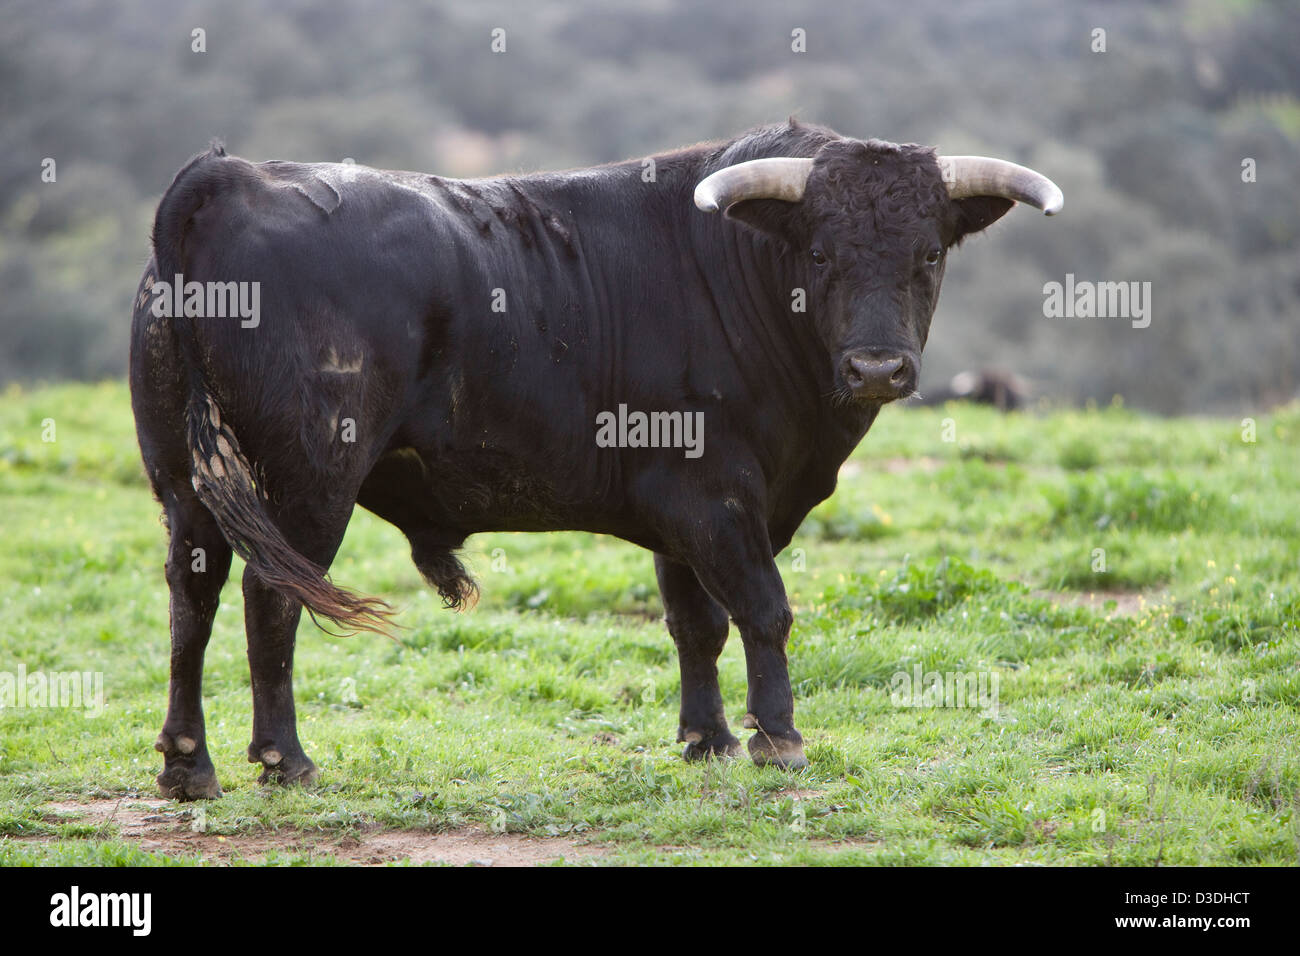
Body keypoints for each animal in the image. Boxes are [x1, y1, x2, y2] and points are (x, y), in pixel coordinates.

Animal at [131, 119, 1060, 796]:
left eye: (929, 253)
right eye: (821, 252)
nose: (877, 368)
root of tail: (230, 178)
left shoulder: (682, 514)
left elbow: (695, 623)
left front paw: (708, 739)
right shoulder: (719, 498)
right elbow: (764, 609)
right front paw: (779, 738)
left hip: (186, 488)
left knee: (192, 598)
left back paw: (188, 764)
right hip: (309, 481)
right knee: (271, 600)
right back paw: (285, 759)